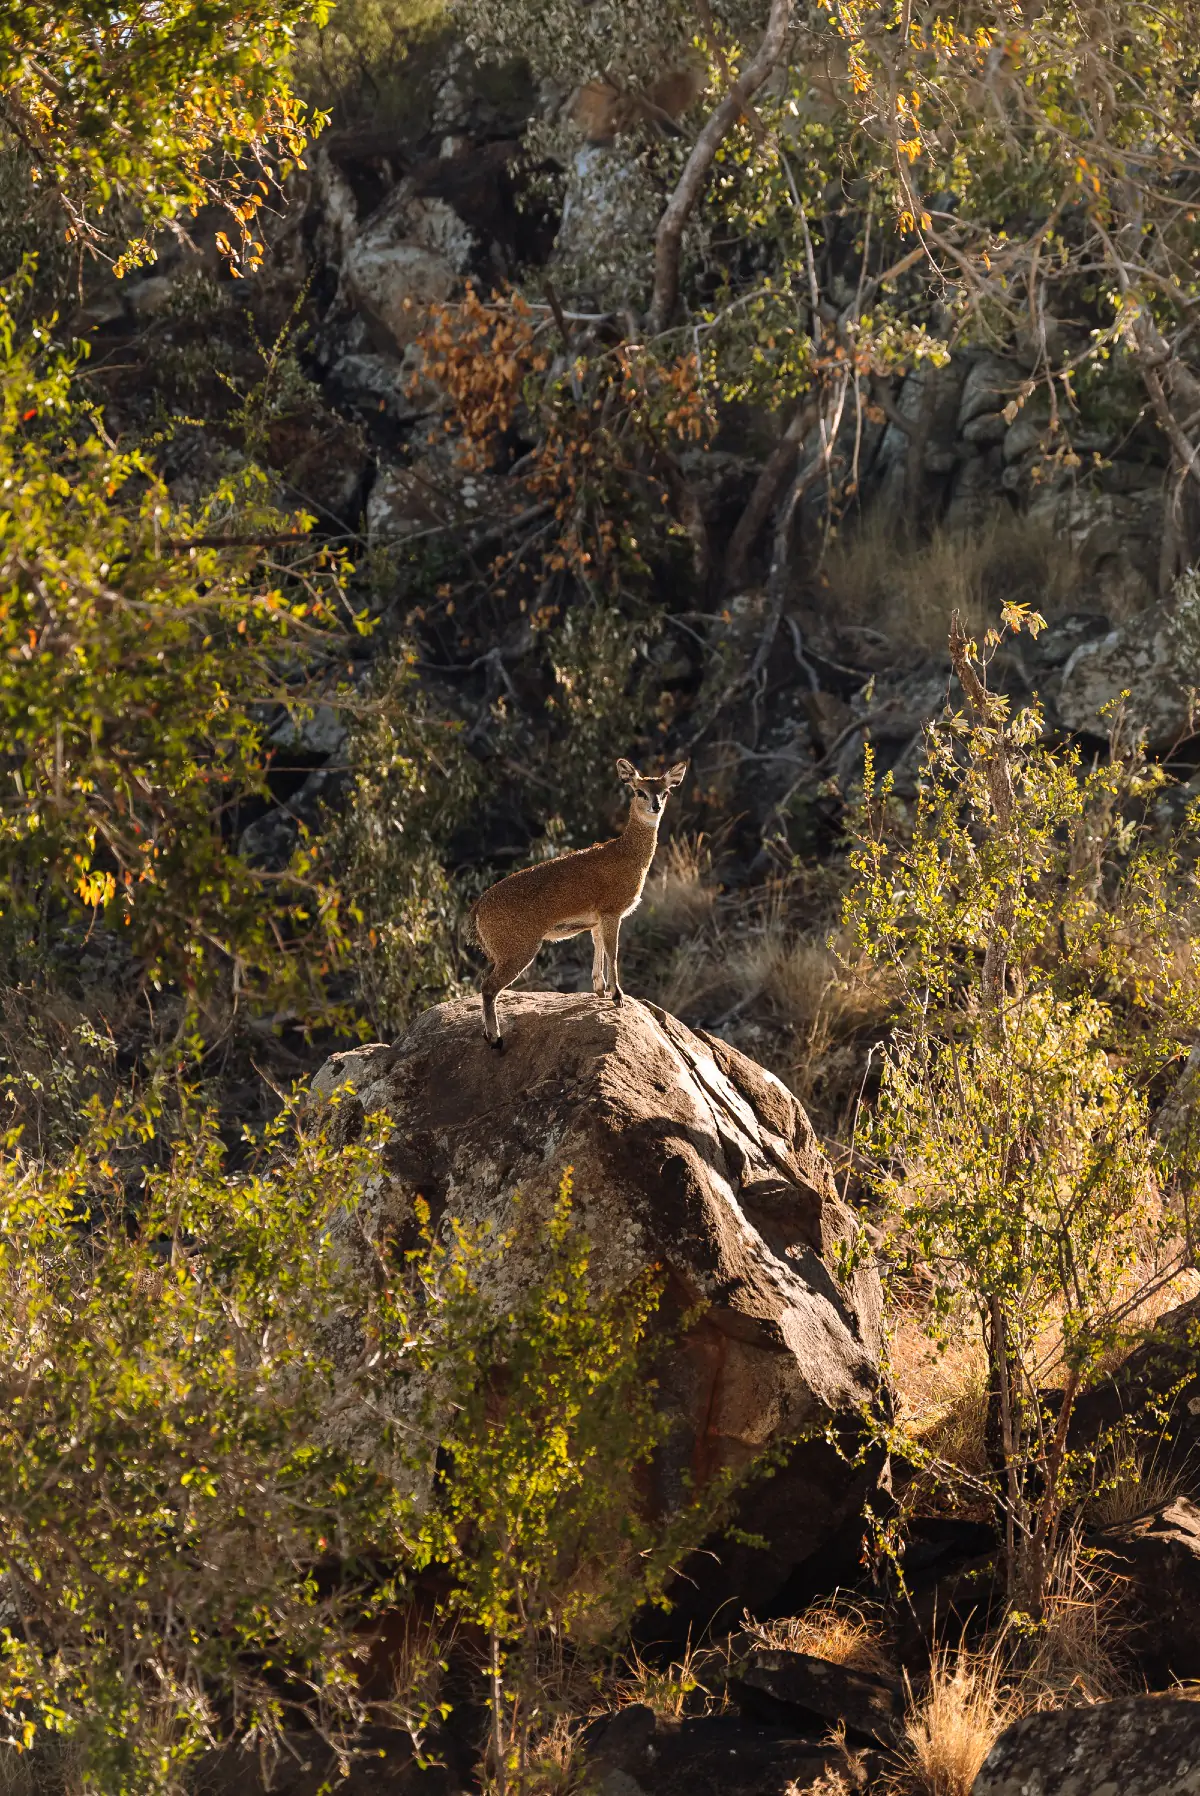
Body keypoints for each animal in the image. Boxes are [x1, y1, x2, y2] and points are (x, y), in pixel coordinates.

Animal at [470, 757, 693, 1048]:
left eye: (665, 792)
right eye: (639, 791)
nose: (655, 806)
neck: (627, 855)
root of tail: (477, 908)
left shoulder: (596, 919)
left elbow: (598, 946)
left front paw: (600, 989)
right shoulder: (612, 912)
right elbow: (613, 951)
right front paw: (618, 996)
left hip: (500, 953)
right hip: (518, 950)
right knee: (488, 987)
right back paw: (495, 1038)